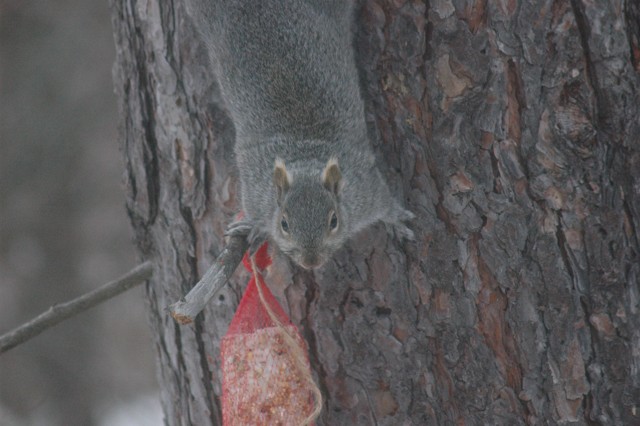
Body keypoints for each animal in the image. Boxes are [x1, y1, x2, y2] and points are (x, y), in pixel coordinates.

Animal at [188, 0, 414, 269]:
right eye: (284, 224)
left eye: (333, 221)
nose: (311, 262)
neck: (304, 156)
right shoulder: (255, 193)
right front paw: (253, 227)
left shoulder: (365, 190)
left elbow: (384, 202)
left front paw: (396, 219)